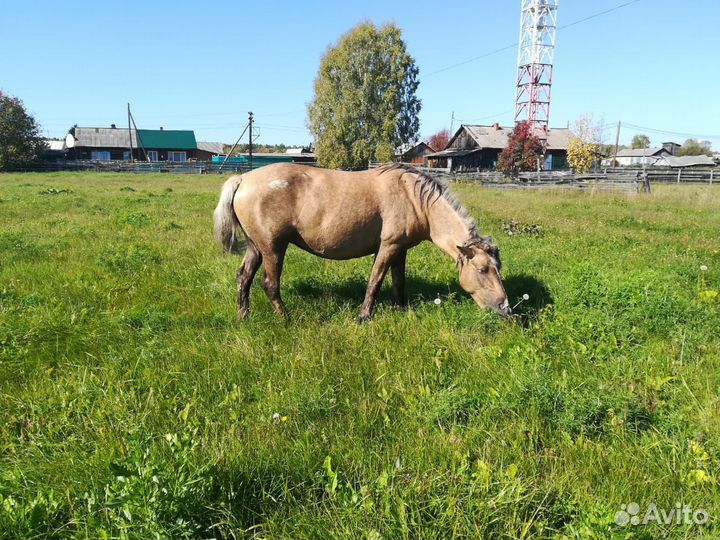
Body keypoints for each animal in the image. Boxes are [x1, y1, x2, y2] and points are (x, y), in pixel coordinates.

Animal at [213, 162, 510, 322]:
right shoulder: (388, 246)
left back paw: (243, 316)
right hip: (273, 248)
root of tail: (242, 179)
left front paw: (400, 309)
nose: (505, 308)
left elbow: (398, 281)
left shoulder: (401, 250)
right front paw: (364, 316)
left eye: (498, 268)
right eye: (483, 270)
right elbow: (375, 281)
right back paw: (286, 319)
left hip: (256, 247)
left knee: (244, 277)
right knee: (269, 284)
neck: (415, 197)